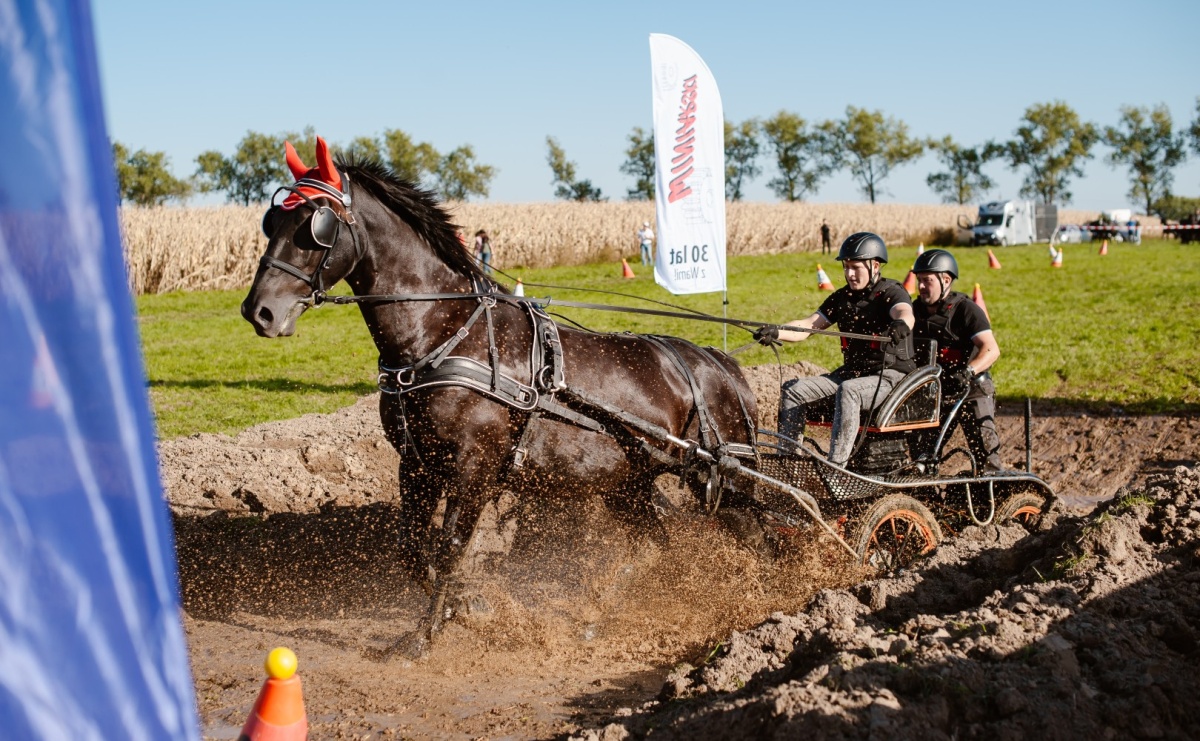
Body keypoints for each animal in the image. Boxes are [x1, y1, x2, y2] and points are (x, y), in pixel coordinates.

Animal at [242, 137, 760, 658]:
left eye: (316, 225)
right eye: (272, 221)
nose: (257, 311)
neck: (442, 334)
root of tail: (721, 364)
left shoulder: (475, 465)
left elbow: (451, 546)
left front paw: (424, 635)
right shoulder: (417, 463)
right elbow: (412, 549)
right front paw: (462, 606)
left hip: (725, 478)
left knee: (755, 534)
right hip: (627, 486)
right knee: (660, 547)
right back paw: (611, 614)